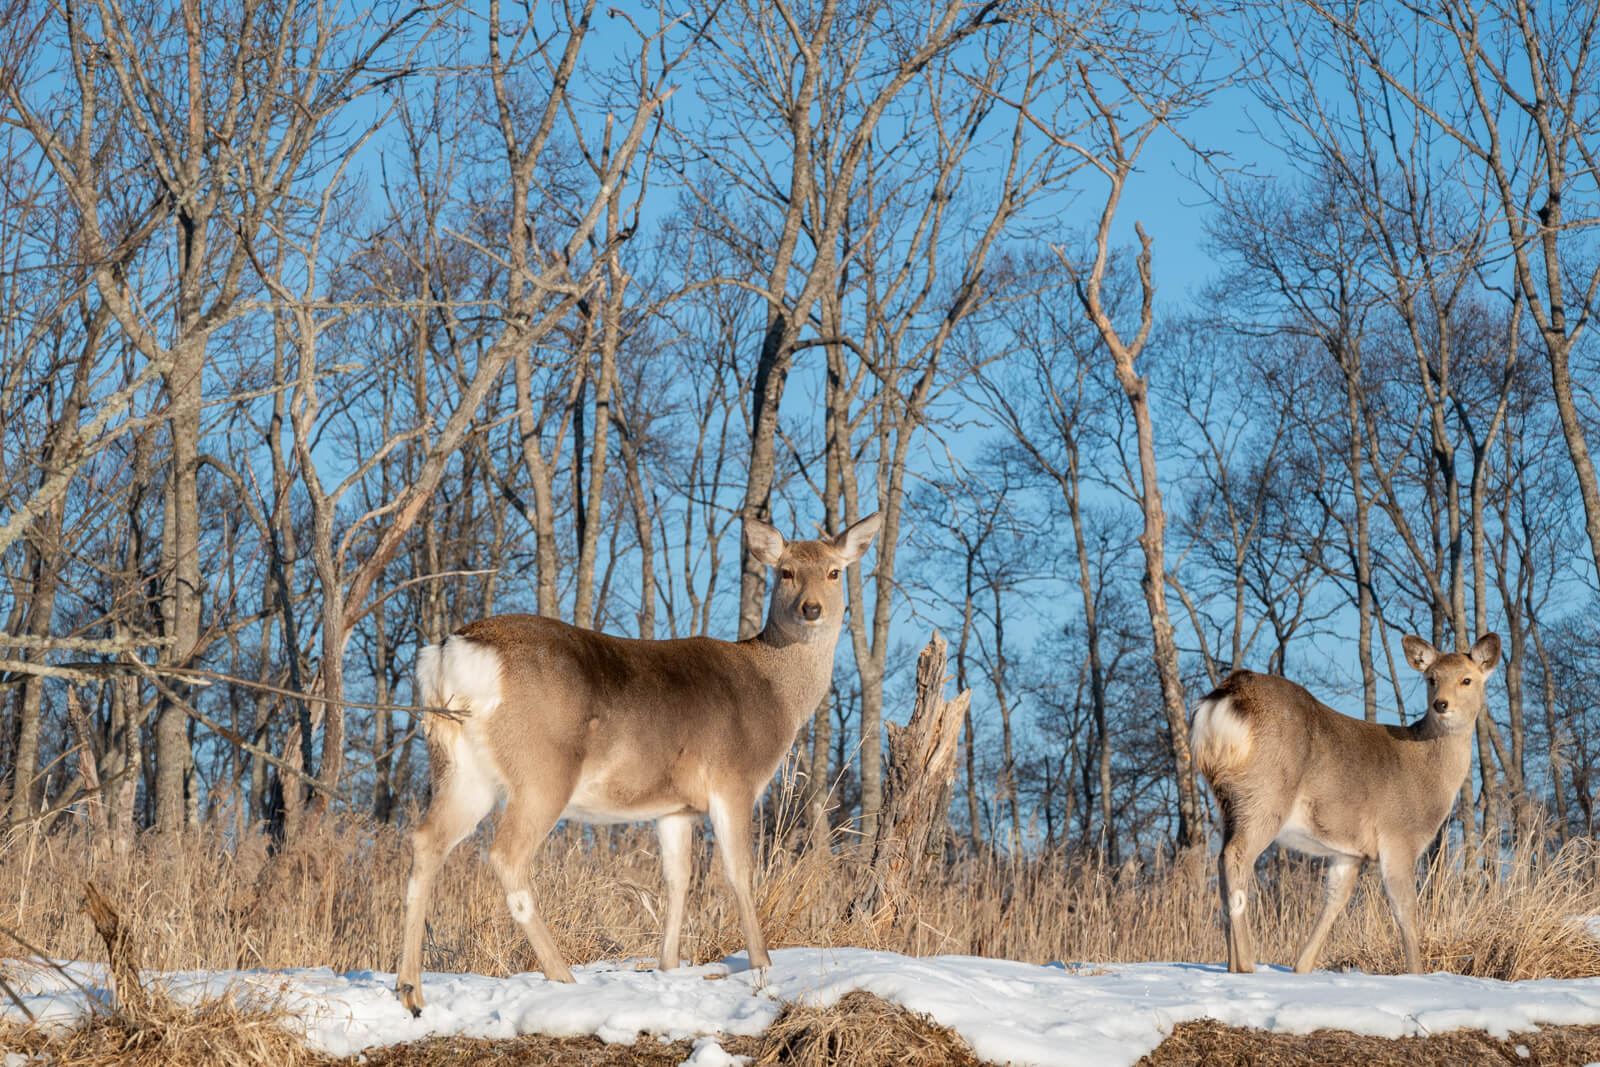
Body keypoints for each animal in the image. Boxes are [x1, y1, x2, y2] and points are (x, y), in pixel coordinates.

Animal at [393, 515, 883, 1017]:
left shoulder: (674, 808)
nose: (811, 609)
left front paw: (667, 967)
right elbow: (739, 872)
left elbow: (677, 879)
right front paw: (762, 966)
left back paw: (411, 990)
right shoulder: (734, 779)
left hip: (459, 768)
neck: (774, 693)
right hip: (542, 771)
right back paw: (562, 977)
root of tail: (451, 654)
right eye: (785, 572)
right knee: (506, 855)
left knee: (425, 841)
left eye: (834, 572)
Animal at [1203, 633, 1497, 979]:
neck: (1429, 773)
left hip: (1227, 803)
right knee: (1236, 857)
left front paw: (1301, 968)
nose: (1441, 704)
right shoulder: (1400, 836)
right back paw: (1247, 965)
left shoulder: (1348, 852)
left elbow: (1335, 900)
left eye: (1466, 679)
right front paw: (1416, 974)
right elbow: (1405, 910)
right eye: (1431, 678)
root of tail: (1230, 695)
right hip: (1266, 794)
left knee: (1222, 860)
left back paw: (1232, 965)